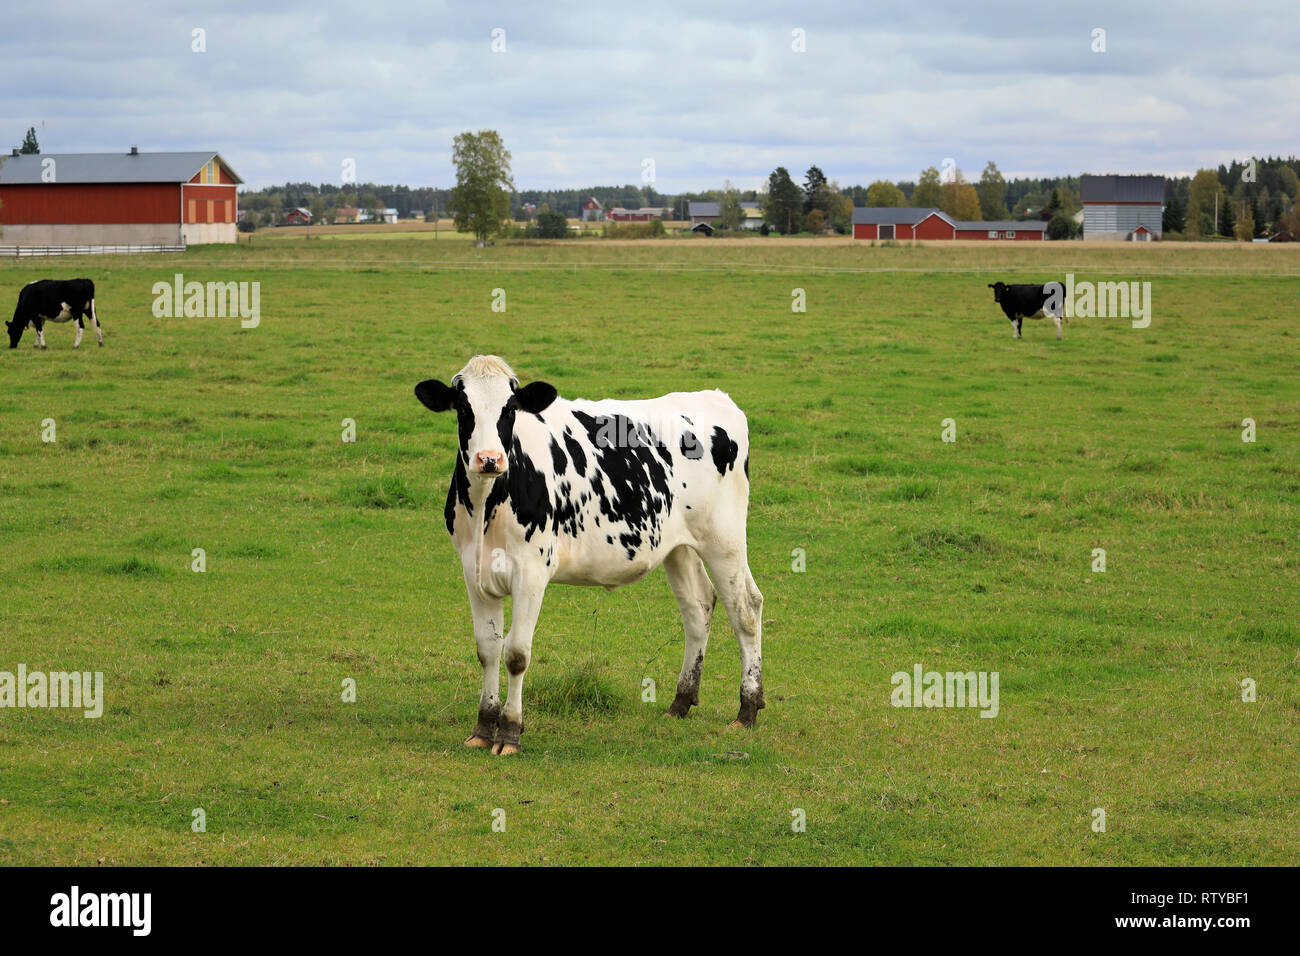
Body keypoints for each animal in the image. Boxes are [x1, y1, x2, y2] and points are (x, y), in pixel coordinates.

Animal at [414, 355, 764, 755]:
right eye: (463, 408)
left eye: (510, 408)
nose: (489, 459)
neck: (487, 504)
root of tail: (714, 397)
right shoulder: (473, 570)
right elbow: (487, 649)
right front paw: (483, 728)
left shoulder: (532, 571)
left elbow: (516, 654)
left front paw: (510, 732)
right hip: (678, 547)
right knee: (699, 608)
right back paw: (681, 702)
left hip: (724, 539)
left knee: (746, 608)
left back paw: (747, 708)